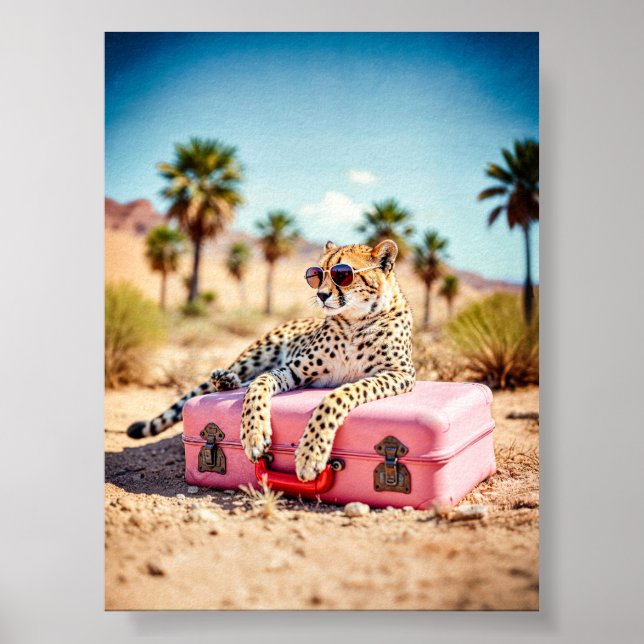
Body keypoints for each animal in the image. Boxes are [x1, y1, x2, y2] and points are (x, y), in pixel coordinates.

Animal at [127, 239, 416, 481]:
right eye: (317, 274)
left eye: (342, 274)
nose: (321, 295)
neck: (354, 321)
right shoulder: (295, 370)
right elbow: (260, 383)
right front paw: (254, 433)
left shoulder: (399, 375)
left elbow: (338, 395)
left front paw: (310, 453)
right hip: (256, 354)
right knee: (242, 376)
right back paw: (225, 379)